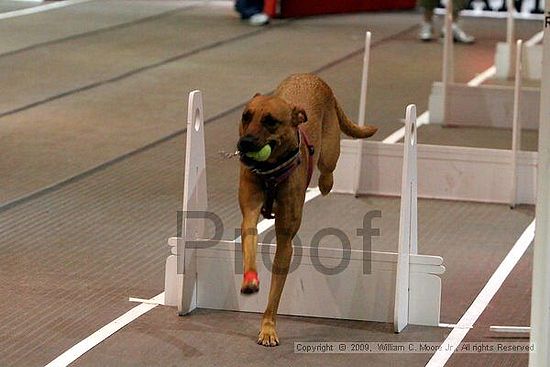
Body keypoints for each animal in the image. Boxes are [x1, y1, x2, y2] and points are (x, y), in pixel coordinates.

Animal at [237, 74, 380, 348]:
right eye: (246, 116)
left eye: (270, 121)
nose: (245, 143)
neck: (271, 173)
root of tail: (313, 77)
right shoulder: (249, 213)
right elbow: (249, 244)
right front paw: (250, 281)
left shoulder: (285, 241)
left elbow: (275, 293)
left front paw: (268, 328)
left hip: (330, 151)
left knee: (327, 171)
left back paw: (325, 184)